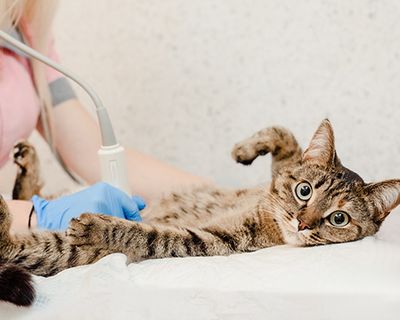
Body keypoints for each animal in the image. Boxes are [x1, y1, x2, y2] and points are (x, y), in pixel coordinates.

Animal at [0, 119, 400, 306]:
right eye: (305, 191)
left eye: (338, 219)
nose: (301, 223)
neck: (268, 217)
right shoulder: (276, 179)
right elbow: (286, 138)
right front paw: (246, 148)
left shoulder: (209, 241)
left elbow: (147, 233)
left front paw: (101, 225)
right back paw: (27, 166)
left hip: (63, 252)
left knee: (15, 245)